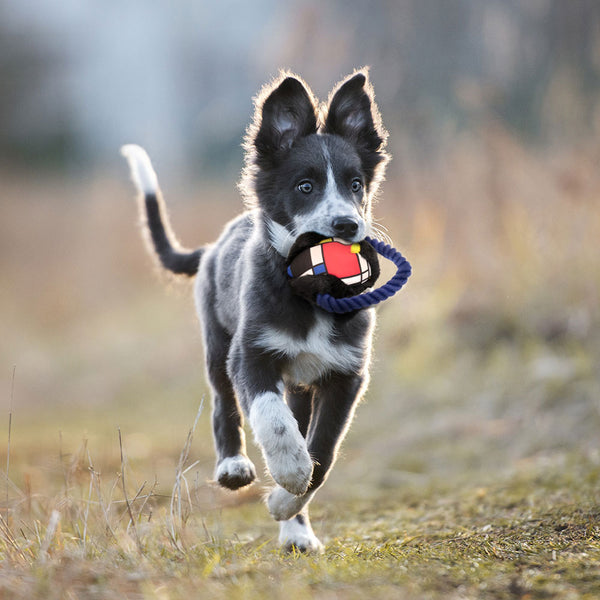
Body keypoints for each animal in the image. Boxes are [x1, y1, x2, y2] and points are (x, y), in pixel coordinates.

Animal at [124, 70, 392, 552]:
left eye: (356, 184)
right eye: (305, 186)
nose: (347, 225)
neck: (311, 295)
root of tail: (212, 247)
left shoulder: (346, 375)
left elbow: (323, 451)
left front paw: (288, 501)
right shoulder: (251, 353)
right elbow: (272, 417)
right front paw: (289, 469)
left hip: (300, 384)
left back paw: (296, 532)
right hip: (217, 346)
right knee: (223, 403)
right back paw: (233, 466)